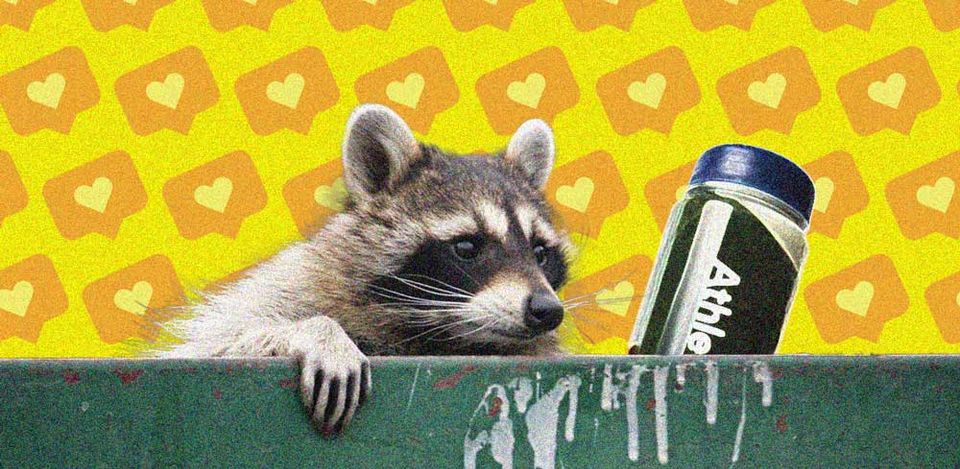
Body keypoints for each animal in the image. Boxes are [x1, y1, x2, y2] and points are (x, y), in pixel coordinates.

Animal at [155, 104, 573, 435]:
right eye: (467, 247)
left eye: (540, 252)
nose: (547, 310)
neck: (435, 333)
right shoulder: (289, 286)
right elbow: (214, 344)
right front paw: (316, 331)